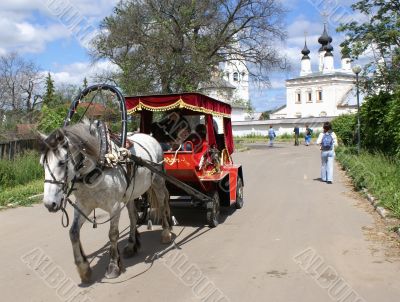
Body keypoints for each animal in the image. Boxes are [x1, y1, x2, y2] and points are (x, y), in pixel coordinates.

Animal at [39, 122, 173, 284]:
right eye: (42, 164)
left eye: (62, 162)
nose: (49, 203)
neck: (99, 165)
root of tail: (150, 137)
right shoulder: (83, 206)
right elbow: (73, 233)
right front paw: (83, 268)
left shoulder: (114, 206)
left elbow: (113, 234)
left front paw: (113, 266)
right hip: (130, 194)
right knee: (133, 217)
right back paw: (131, 245)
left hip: (158, 181)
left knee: (162, 203)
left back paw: (166, 233)